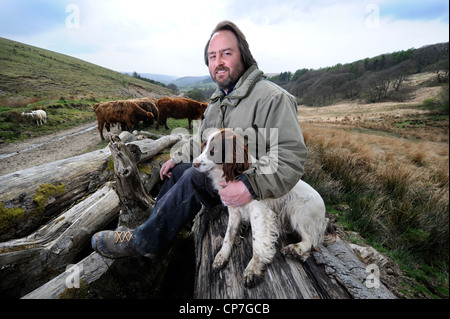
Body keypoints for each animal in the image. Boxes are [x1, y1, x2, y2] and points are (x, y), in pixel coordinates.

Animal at [192, 129, 336, 288]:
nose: (194, 164)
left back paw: (294, 249)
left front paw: (253, 269)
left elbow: (258, 241)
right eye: (204, 146)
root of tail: (324, 214)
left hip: (297, 210)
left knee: (312, 241)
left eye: (214, 150)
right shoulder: (234, 211)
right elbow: (228, 235)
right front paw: (221, 257)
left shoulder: (259, 211)